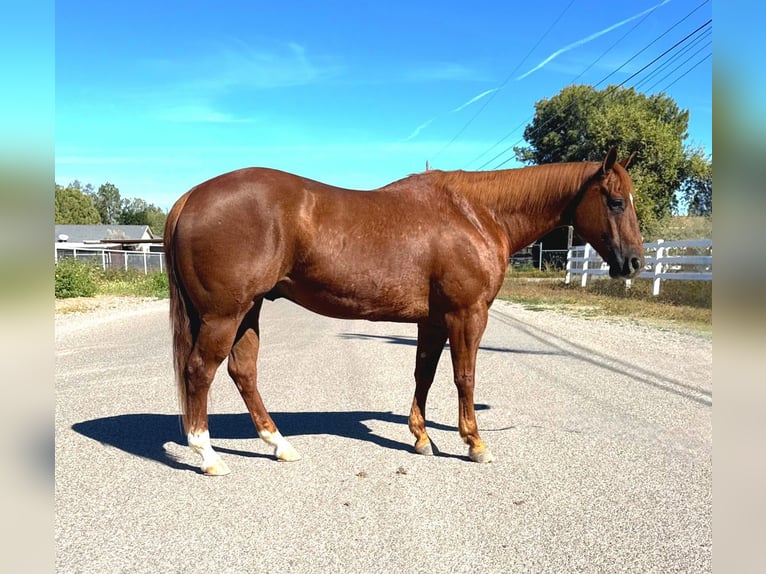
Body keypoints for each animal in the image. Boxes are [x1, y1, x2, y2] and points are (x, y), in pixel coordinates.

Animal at [164, 147, 643, 475]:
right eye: (616, 201)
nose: (636, 263)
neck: (475, 214)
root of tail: (191, 197)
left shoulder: (432, 320)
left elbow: (424, 375)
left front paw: (421, 437)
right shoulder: (467, 315)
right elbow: (464, 376)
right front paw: (474, 443)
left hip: (249, 311)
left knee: (243, 371)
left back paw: (279, 444)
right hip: (224, 314)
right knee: (200, 371)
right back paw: (207, 455)